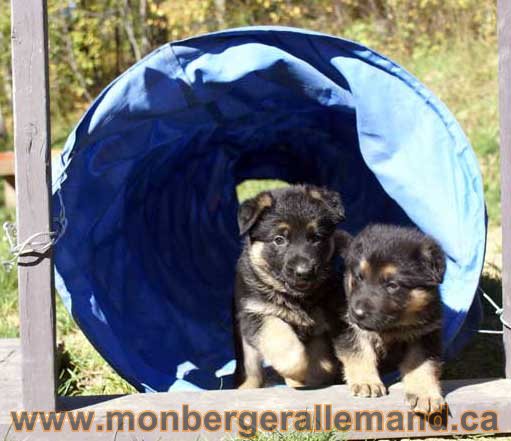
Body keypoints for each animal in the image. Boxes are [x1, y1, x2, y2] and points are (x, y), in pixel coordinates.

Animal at [233, 185, 348, 389]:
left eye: (316, 238)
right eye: (279, 239)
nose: (304, 272)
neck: (295, 298)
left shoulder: (322, 323)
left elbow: (322, 360)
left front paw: (311, 376)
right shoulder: (255, 313)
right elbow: (285, 346)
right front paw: (298, 373)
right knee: (251, 367)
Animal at [332, 224, 446, 413]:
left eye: (392, 285)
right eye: (359, 277)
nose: (357, 313)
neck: (391, 326)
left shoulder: (424, 334)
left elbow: (421, 364)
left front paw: (424, 394)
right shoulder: (348, 325)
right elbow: (359, 350)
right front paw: (366, 381)